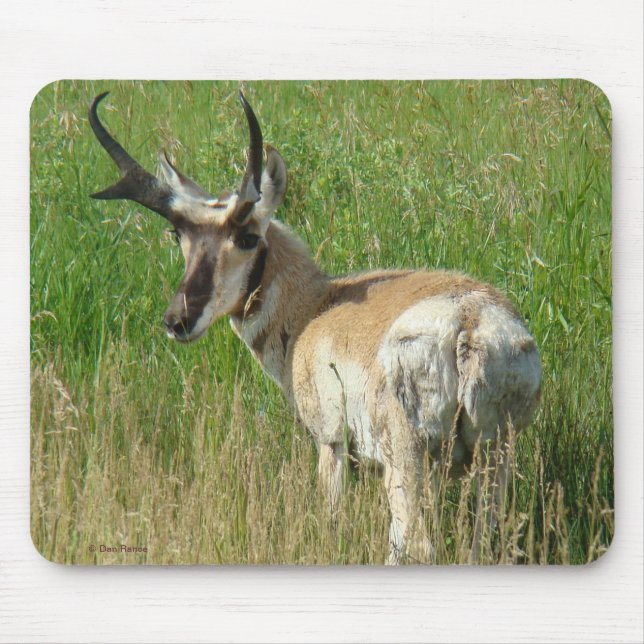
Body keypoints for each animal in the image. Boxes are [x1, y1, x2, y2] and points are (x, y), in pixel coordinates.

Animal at [88, 90, 541, 564]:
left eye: (248, 236)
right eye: (179, 235)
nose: (178, 320)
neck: (315, 306)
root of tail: (467, 322)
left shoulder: (331, 444)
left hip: (408, 458)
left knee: (414, 541)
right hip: (494, 456)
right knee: (486, 540)